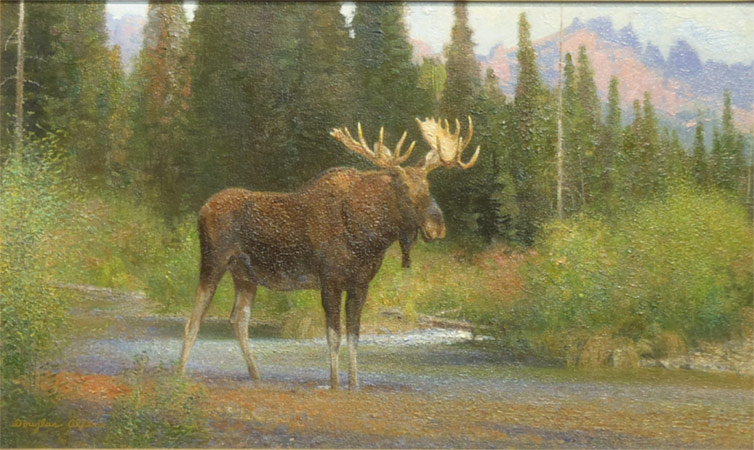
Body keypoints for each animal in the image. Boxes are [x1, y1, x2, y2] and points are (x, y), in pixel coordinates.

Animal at [177, 117, 480, 390]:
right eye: (405, 189)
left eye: (428, 187)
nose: (437, 226)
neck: (368, 236)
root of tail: (203, 209)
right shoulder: (330, 281)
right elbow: (334, 336)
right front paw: (334, 383)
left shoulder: (360, 284)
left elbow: (354, 336)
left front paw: (355, 384)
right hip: (213, 262)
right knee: (194, 320)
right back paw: (179, 373)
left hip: (245, 276)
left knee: (238, 320)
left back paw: (255, 374)